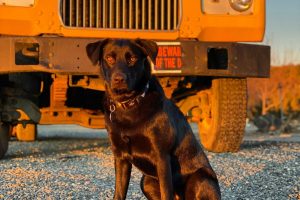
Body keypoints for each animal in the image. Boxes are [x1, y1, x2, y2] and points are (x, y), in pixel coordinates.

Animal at [86, 39, 220, 200]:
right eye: (109, 58)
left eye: (132, 58)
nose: (119, 79)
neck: (129, 105)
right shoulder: (120, 157)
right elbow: (119, 193)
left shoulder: (161, 157)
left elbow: (166, 192)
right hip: (147, 181)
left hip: (200, 178)